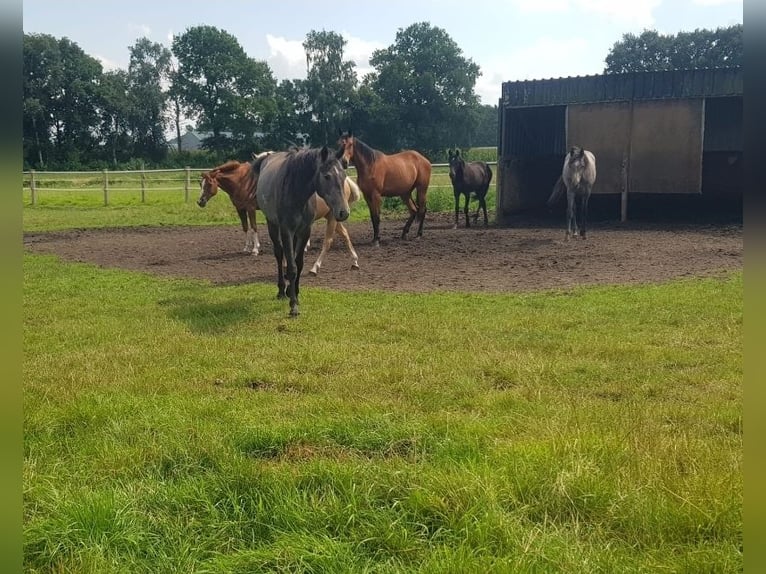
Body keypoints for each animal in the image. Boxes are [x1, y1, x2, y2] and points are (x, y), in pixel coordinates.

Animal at [255, 146, 349, 316]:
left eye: (344, 175)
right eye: (327, 176)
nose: (343, 212)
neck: (296, 193)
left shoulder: (305, 230)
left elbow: (298, 263)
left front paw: (296, 294)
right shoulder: (286, 230)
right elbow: (292, 267)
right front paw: (293, 306)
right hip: (272, 225)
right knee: (279, 254)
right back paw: (281, 290)